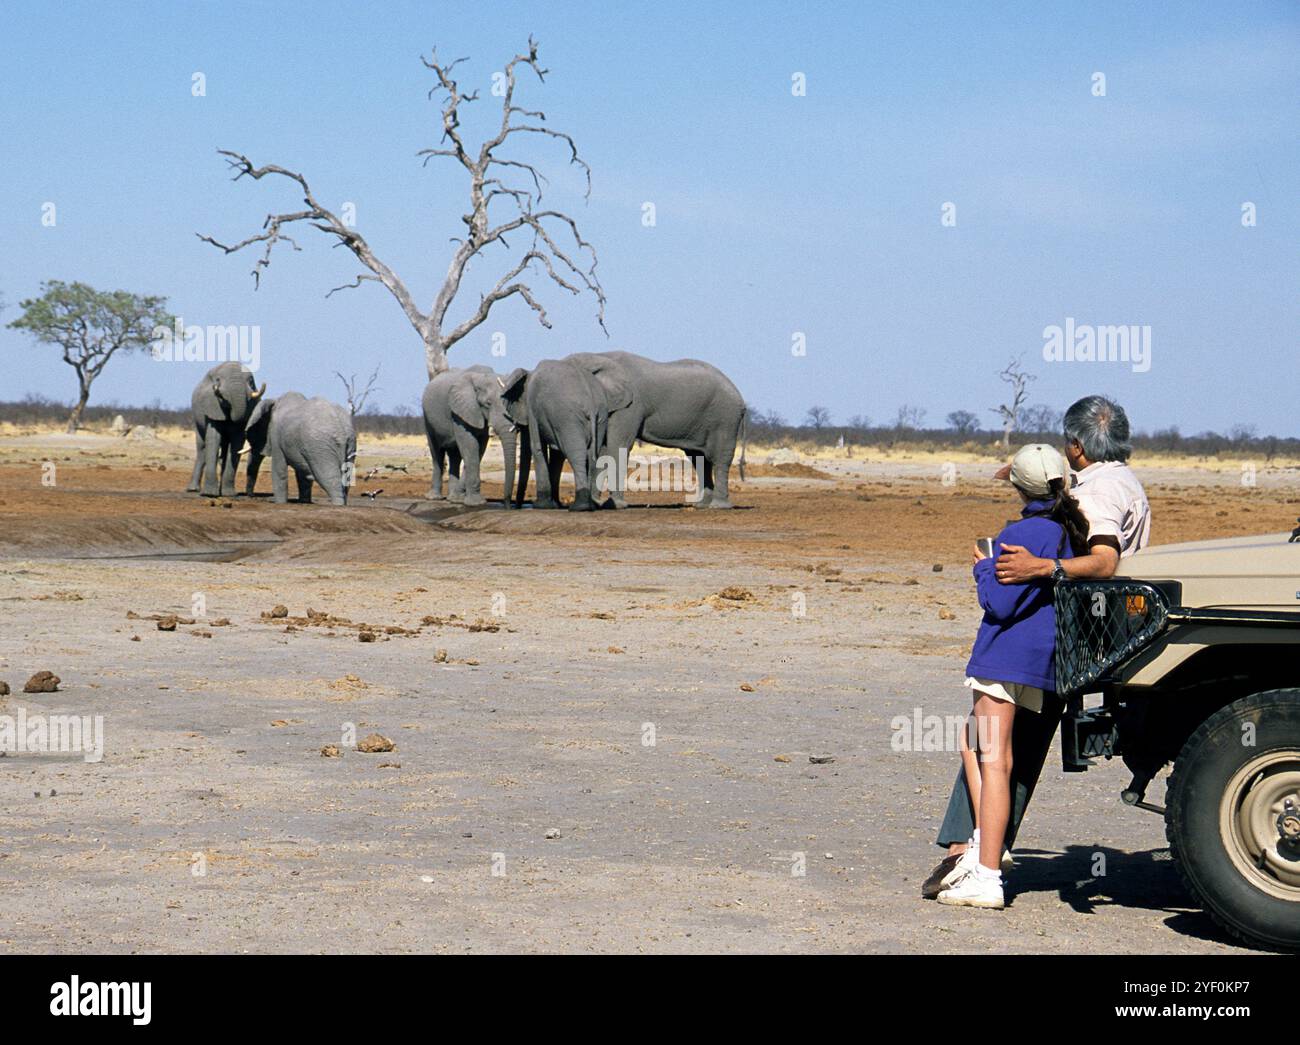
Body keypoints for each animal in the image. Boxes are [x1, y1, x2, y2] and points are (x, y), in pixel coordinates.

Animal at [184, 361, 265, 496]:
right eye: (218, 380)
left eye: (251, 382)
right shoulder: (212, 406)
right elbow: (213, 439)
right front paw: (210, 494)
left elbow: (236, 443)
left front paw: (229, 494)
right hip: (197, 420)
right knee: (202, 449)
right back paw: (193, 489)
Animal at [416, 366, 517, 509]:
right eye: (488, 403)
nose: (507, 506)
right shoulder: (460, 411)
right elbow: (470, 446)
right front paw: (475, 503)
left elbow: (478, 450)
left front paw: (458, 499)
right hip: (428, 419)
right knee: (437, 454)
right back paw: (434, 497)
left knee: (455, 456)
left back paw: (452, 497)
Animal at [499, 356, 631, 509]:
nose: (516, 506)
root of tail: (591, 403)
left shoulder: (533, 407)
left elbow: (537, 448)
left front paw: (542, 506)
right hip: (601, 416)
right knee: (592, 455)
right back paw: (590, 505)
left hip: (567, 417)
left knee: (577, 454)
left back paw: (580, 507)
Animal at [566, 350, 748, 509]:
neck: (598, 356)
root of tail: (741, 398)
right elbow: (603, 449)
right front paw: (596, 503)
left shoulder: (631, 405)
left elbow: (617, 447)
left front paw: (615, 505)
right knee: (700, 459)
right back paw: (701, 506)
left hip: (725, 418)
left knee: (719, 458)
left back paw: (718, 506)